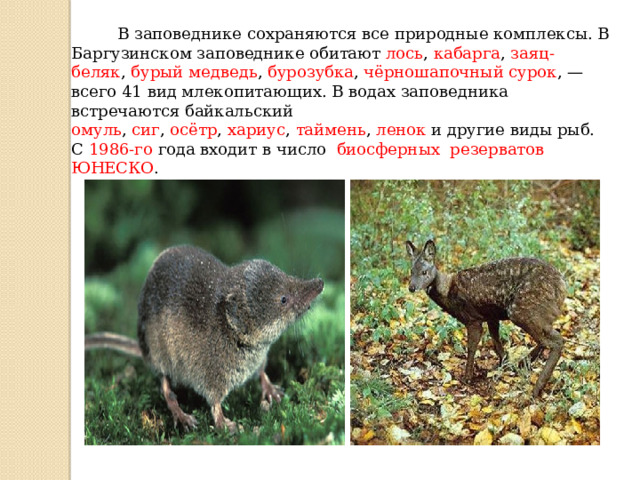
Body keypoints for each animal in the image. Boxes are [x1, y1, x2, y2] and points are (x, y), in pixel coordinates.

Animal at [405, 239, 566, 397]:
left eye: (424, 272)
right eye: (411, 271)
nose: (411, 287)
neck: (448, 291)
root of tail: (562, 286)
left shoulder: (472, 318)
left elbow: (472, 346)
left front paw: (467, 378)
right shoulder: (491, 316)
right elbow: (496, 342)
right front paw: (505, 364)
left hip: (522, 310)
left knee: (557, 340)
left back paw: (537, 388)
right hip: (538, 313)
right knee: (549, 338)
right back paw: (524, 365)